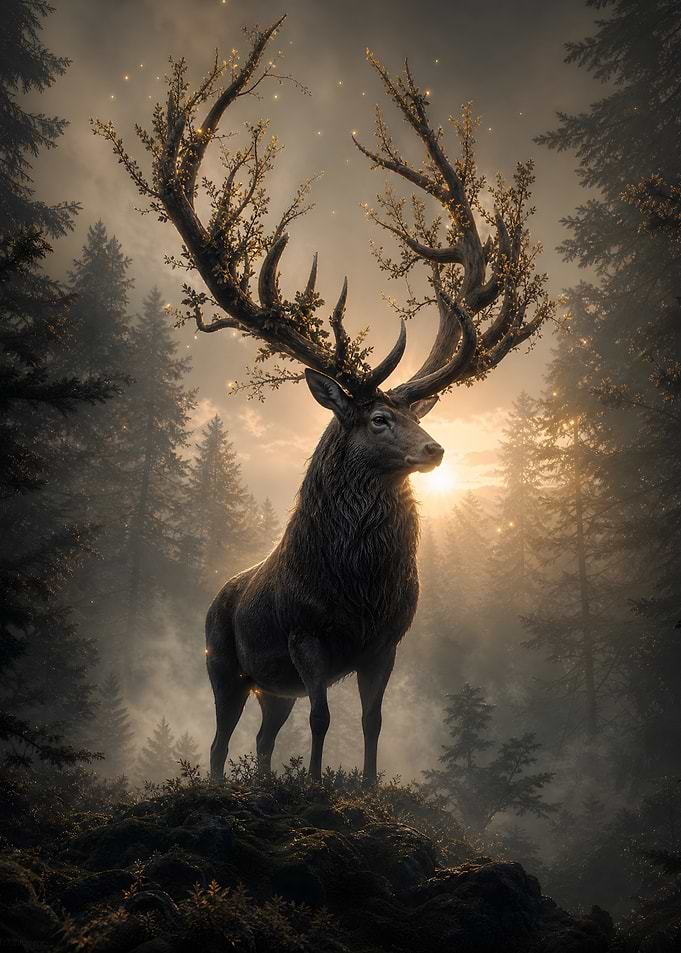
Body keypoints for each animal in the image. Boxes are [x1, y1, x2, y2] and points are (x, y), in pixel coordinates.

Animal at [94, 16, 552, 783]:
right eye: (378, 417)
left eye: (416, 413)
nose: (436, 449)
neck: (355, 591)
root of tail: (215, 593)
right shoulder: (307, 639)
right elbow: (323, 719)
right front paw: (313, 789)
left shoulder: (385, 643)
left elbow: (369, 722)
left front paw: (361, 788)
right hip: (224, 664)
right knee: (220, 738)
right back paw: (222, 784)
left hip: (267, 685)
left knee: (260, 736)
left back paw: (261, 784)